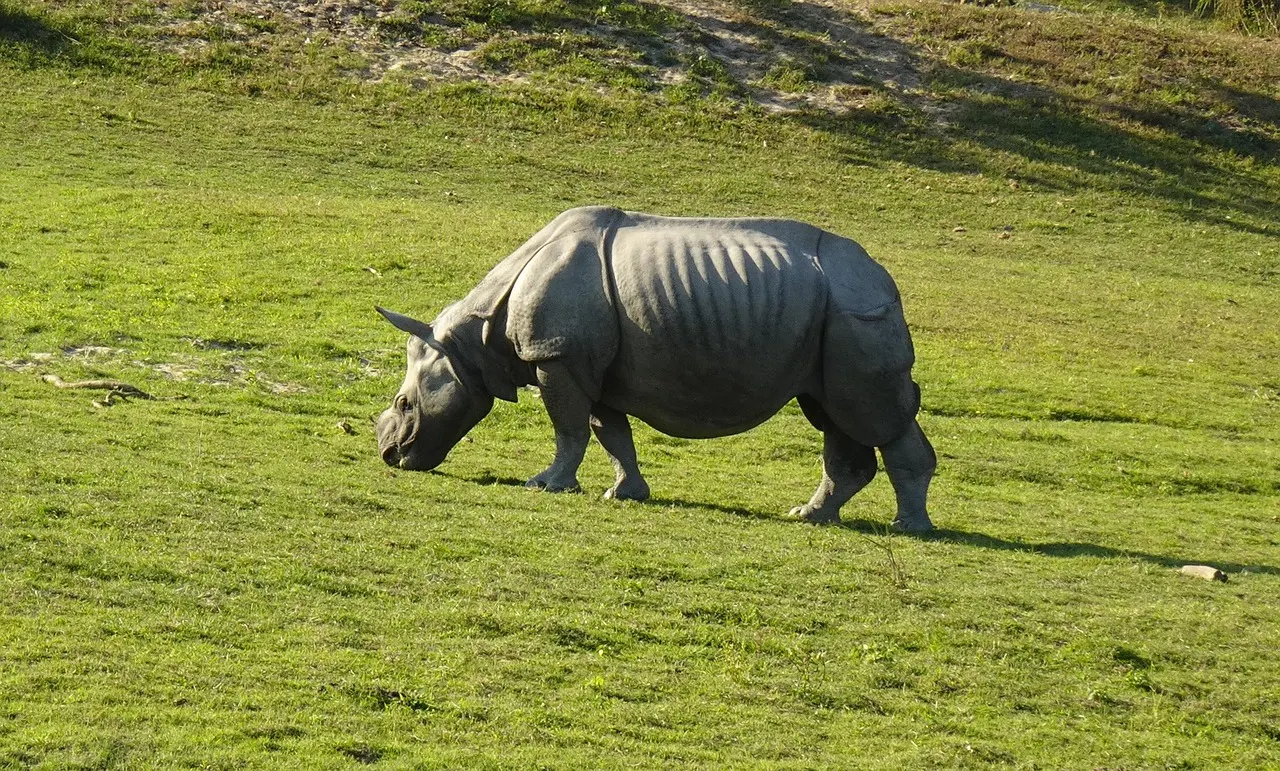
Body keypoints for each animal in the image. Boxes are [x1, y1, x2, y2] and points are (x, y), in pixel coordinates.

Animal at [375, 206, 936, 532]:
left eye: (405, 404)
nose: (389, 456)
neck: (472, 341)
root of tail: (882, 275)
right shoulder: (589, 367)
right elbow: (609, 432)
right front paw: (623, 494)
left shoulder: (557, 356)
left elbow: (569, 427)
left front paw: (547, 485)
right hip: (834, 319)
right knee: (834, 414)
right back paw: (810, 517)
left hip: (854, 311)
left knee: (872, 415)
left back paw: (906, 528)